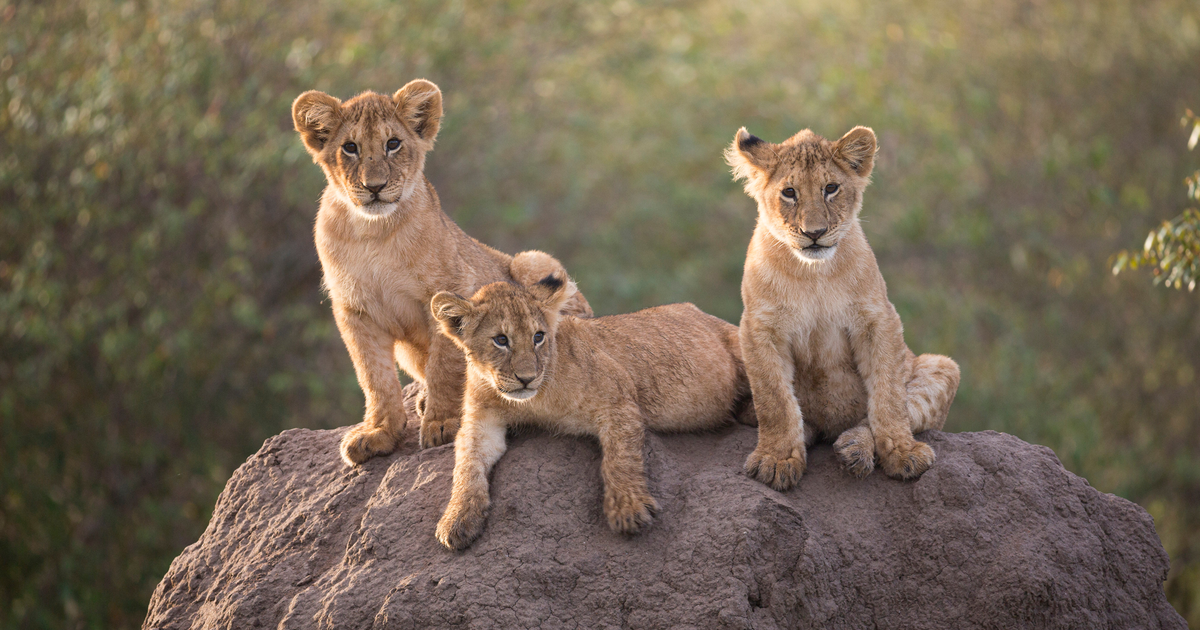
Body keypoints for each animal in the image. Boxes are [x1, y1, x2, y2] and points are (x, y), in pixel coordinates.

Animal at [292, 79, 592, 465]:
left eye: (393, 144)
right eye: (350, 148)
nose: (375, 187)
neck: (372, 232)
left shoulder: (450, 291)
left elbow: (445, 365)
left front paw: (444, 423)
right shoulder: (354, 311)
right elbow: (374, 377)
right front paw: (379, 433)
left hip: (533, 260)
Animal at [428, 268, 755, 550]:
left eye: (538, 337)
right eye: (500, 340)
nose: (527, 378)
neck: (535, 400)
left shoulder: (619, 396)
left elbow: (619, 458)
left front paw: (628, 508)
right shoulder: (480, 422)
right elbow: (466, 465)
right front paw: (456, 519)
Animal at [724, 125, 960, 490]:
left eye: (831, 188)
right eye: (789, 192)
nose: (815, 233)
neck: (814, 274)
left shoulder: (879, 319)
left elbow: (889, 395)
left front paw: (902, 453)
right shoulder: (758, 329)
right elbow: (775, 400)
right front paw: (777, 460)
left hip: (943, 367)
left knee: (886, 411)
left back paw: (854, 449)